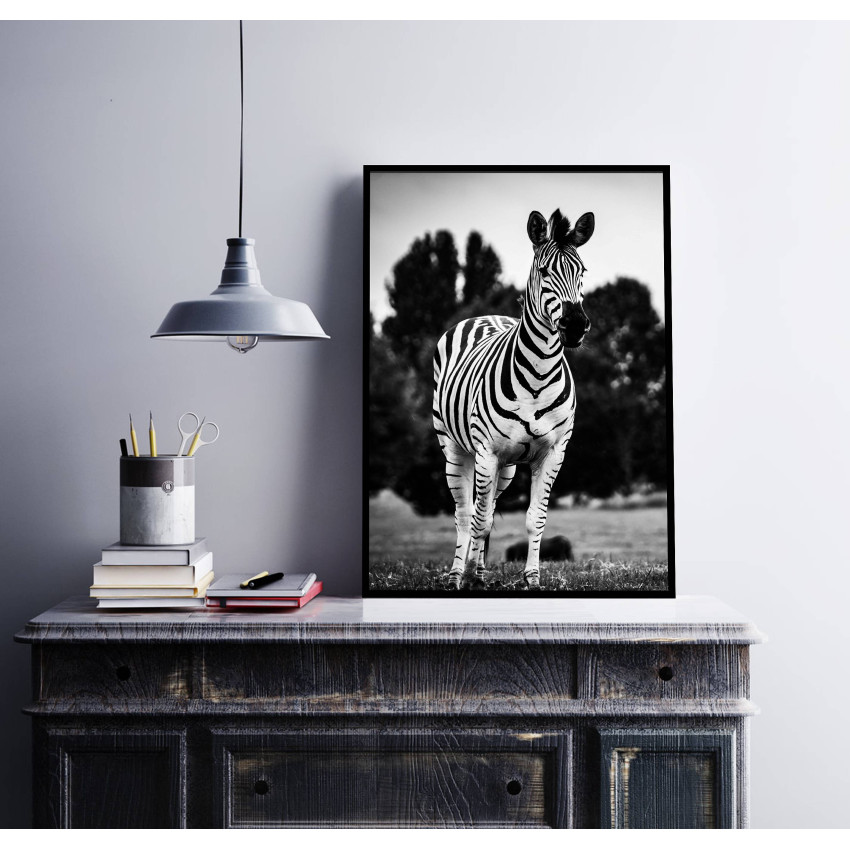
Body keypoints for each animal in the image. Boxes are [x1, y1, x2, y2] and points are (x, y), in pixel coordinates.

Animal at [432, 208, 594, 589]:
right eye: (544, 271)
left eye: (581, 271)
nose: (575, 325)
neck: (537, 374)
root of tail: (485, 316)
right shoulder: (486, 452)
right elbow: (477, 519)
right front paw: (468, 579)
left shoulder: (553, 453)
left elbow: (534, 518)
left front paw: (532, 577)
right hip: (455, 449)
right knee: (466, 514)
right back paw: (457, 574)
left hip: (504, 467)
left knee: (488, 509)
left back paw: (477, 570)